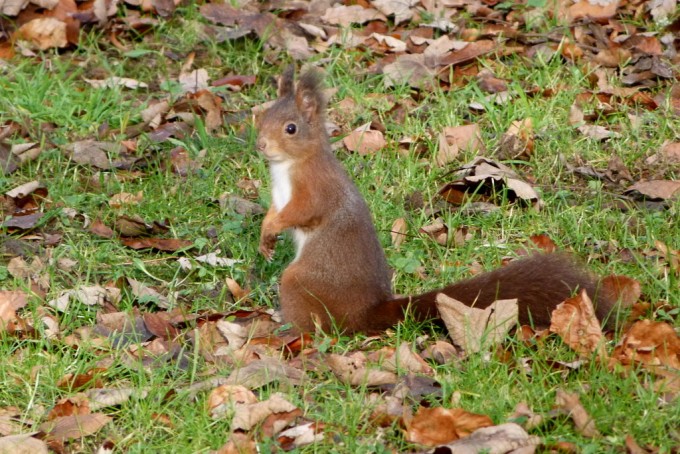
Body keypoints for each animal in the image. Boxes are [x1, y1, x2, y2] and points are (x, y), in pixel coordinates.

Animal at [255, 66, 617, 334]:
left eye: (290, 128)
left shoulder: (316, 190)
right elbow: (274, 212)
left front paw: (273, 228)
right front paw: (265, 237)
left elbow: (302, 212)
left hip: (300, 282)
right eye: (263, 116)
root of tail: (366, 314)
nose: (261, 145)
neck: (288, 166)